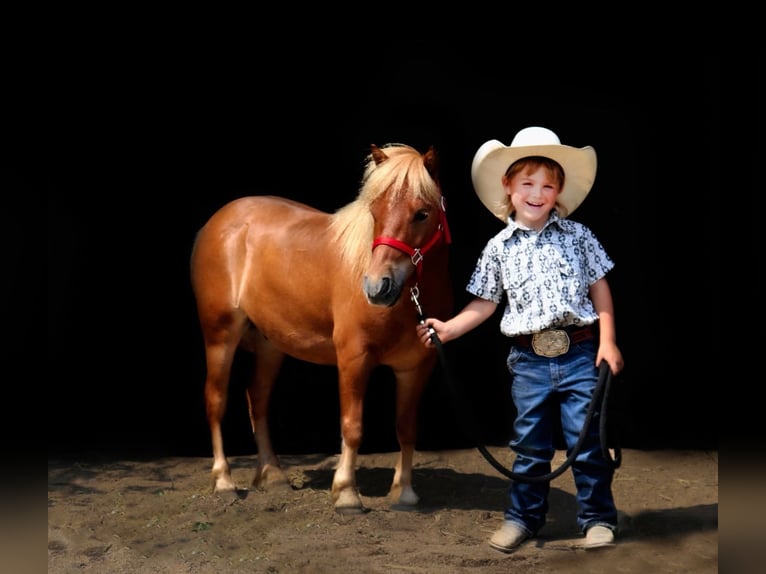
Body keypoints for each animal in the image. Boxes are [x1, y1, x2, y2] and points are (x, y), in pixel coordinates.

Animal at [191, 143, 452, 512]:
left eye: (422, 213)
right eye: (374, 211)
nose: (377, 287)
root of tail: (217, 222)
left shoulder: (416, 367)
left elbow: (406, 428)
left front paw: (404, 493)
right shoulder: (354, 358)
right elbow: (352, 426)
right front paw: (346, 493)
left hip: (271, 344)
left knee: (257, 399)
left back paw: (273, 476)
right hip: (220, 335)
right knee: (216, 400)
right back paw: (224, 481)